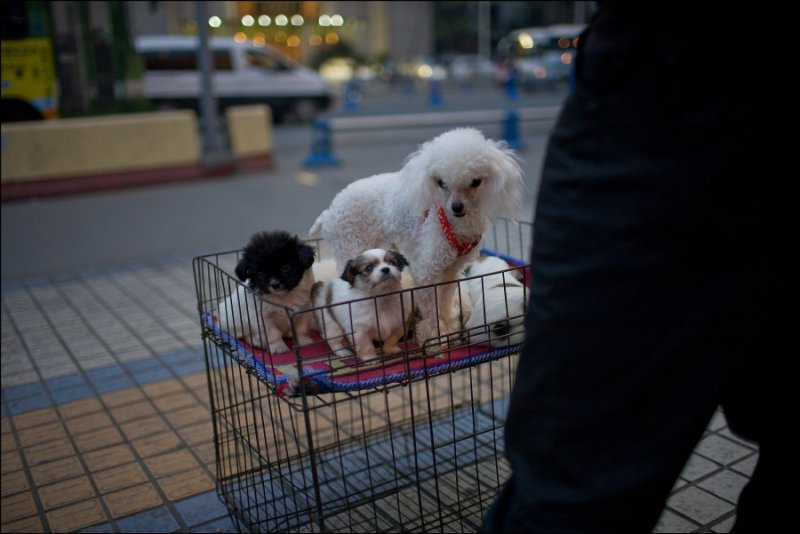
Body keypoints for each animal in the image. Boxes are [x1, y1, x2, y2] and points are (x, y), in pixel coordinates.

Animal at [308, 127, 524, 350]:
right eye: (441, 182)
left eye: (475, 182)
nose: (456, 208)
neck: (453, 222)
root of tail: (329, 212)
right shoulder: (427, 271)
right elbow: (430, 309)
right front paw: (434, 339)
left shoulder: (451, 270)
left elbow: (445, 301)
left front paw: (448, 329)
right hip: (351, 247)